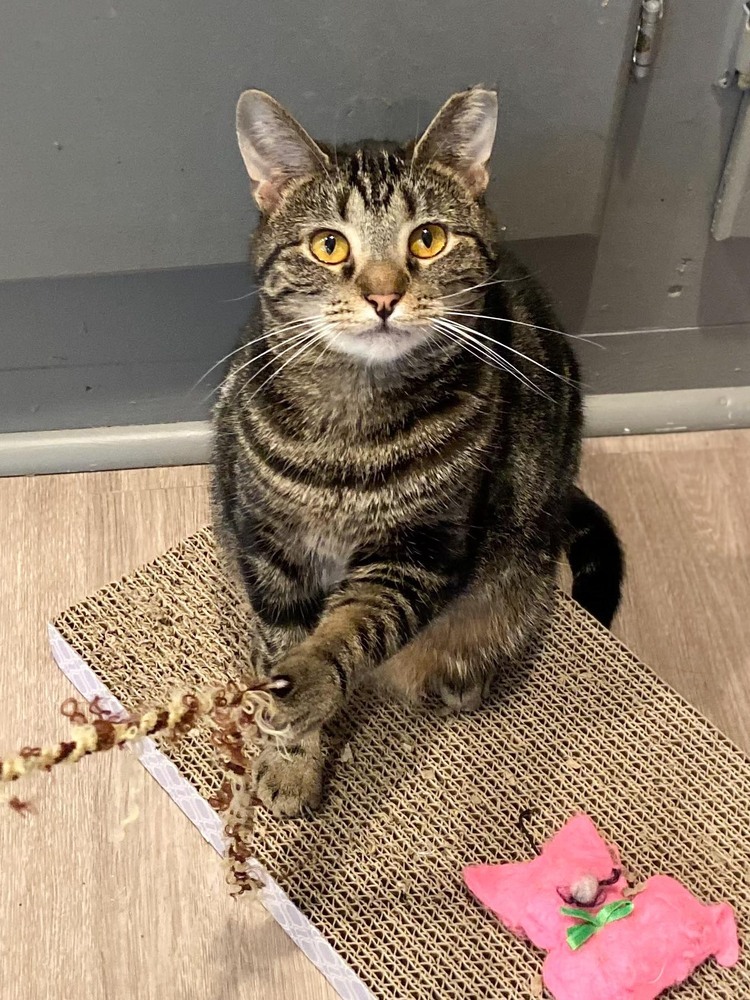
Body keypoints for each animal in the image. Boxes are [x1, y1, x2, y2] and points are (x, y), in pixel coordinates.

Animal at [212, 90, 624, 816]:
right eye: (328, 245)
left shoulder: (422, 553)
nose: (384, 295)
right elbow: (278, 637)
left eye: (426, 239)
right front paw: (290, 758)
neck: (350, 429)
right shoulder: (270, 547)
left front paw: (307, 682)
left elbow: (352, 628)